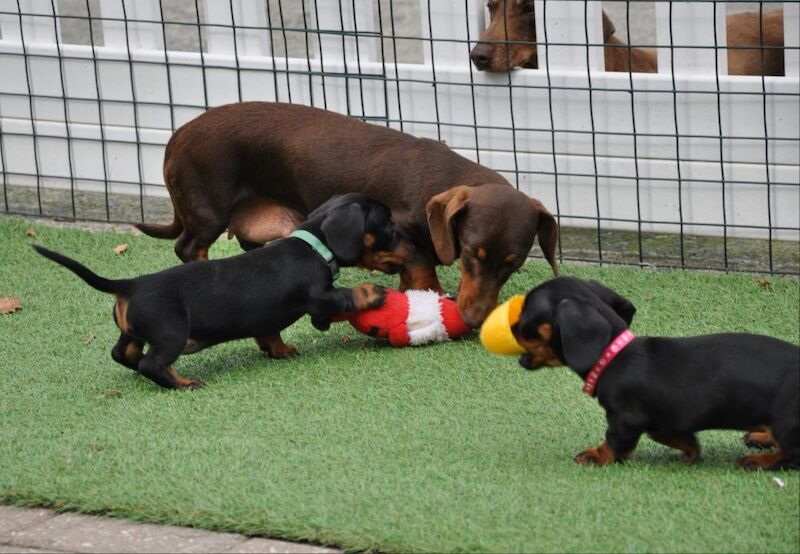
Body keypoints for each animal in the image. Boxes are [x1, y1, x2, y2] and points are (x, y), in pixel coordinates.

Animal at [33, 194, 412, 388]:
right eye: (388, 225)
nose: (411, 247)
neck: (312, 244)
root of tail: (130, 284)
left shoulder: (271, 318)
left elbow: (270, 333)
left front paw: (281, 350)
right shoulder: (320, 296)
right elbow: (347, 294)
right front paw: (372, 293)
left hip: (135, 332)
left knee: (124, 353)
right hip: (171, 333)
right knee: (152, 364)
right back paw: (184, 383)